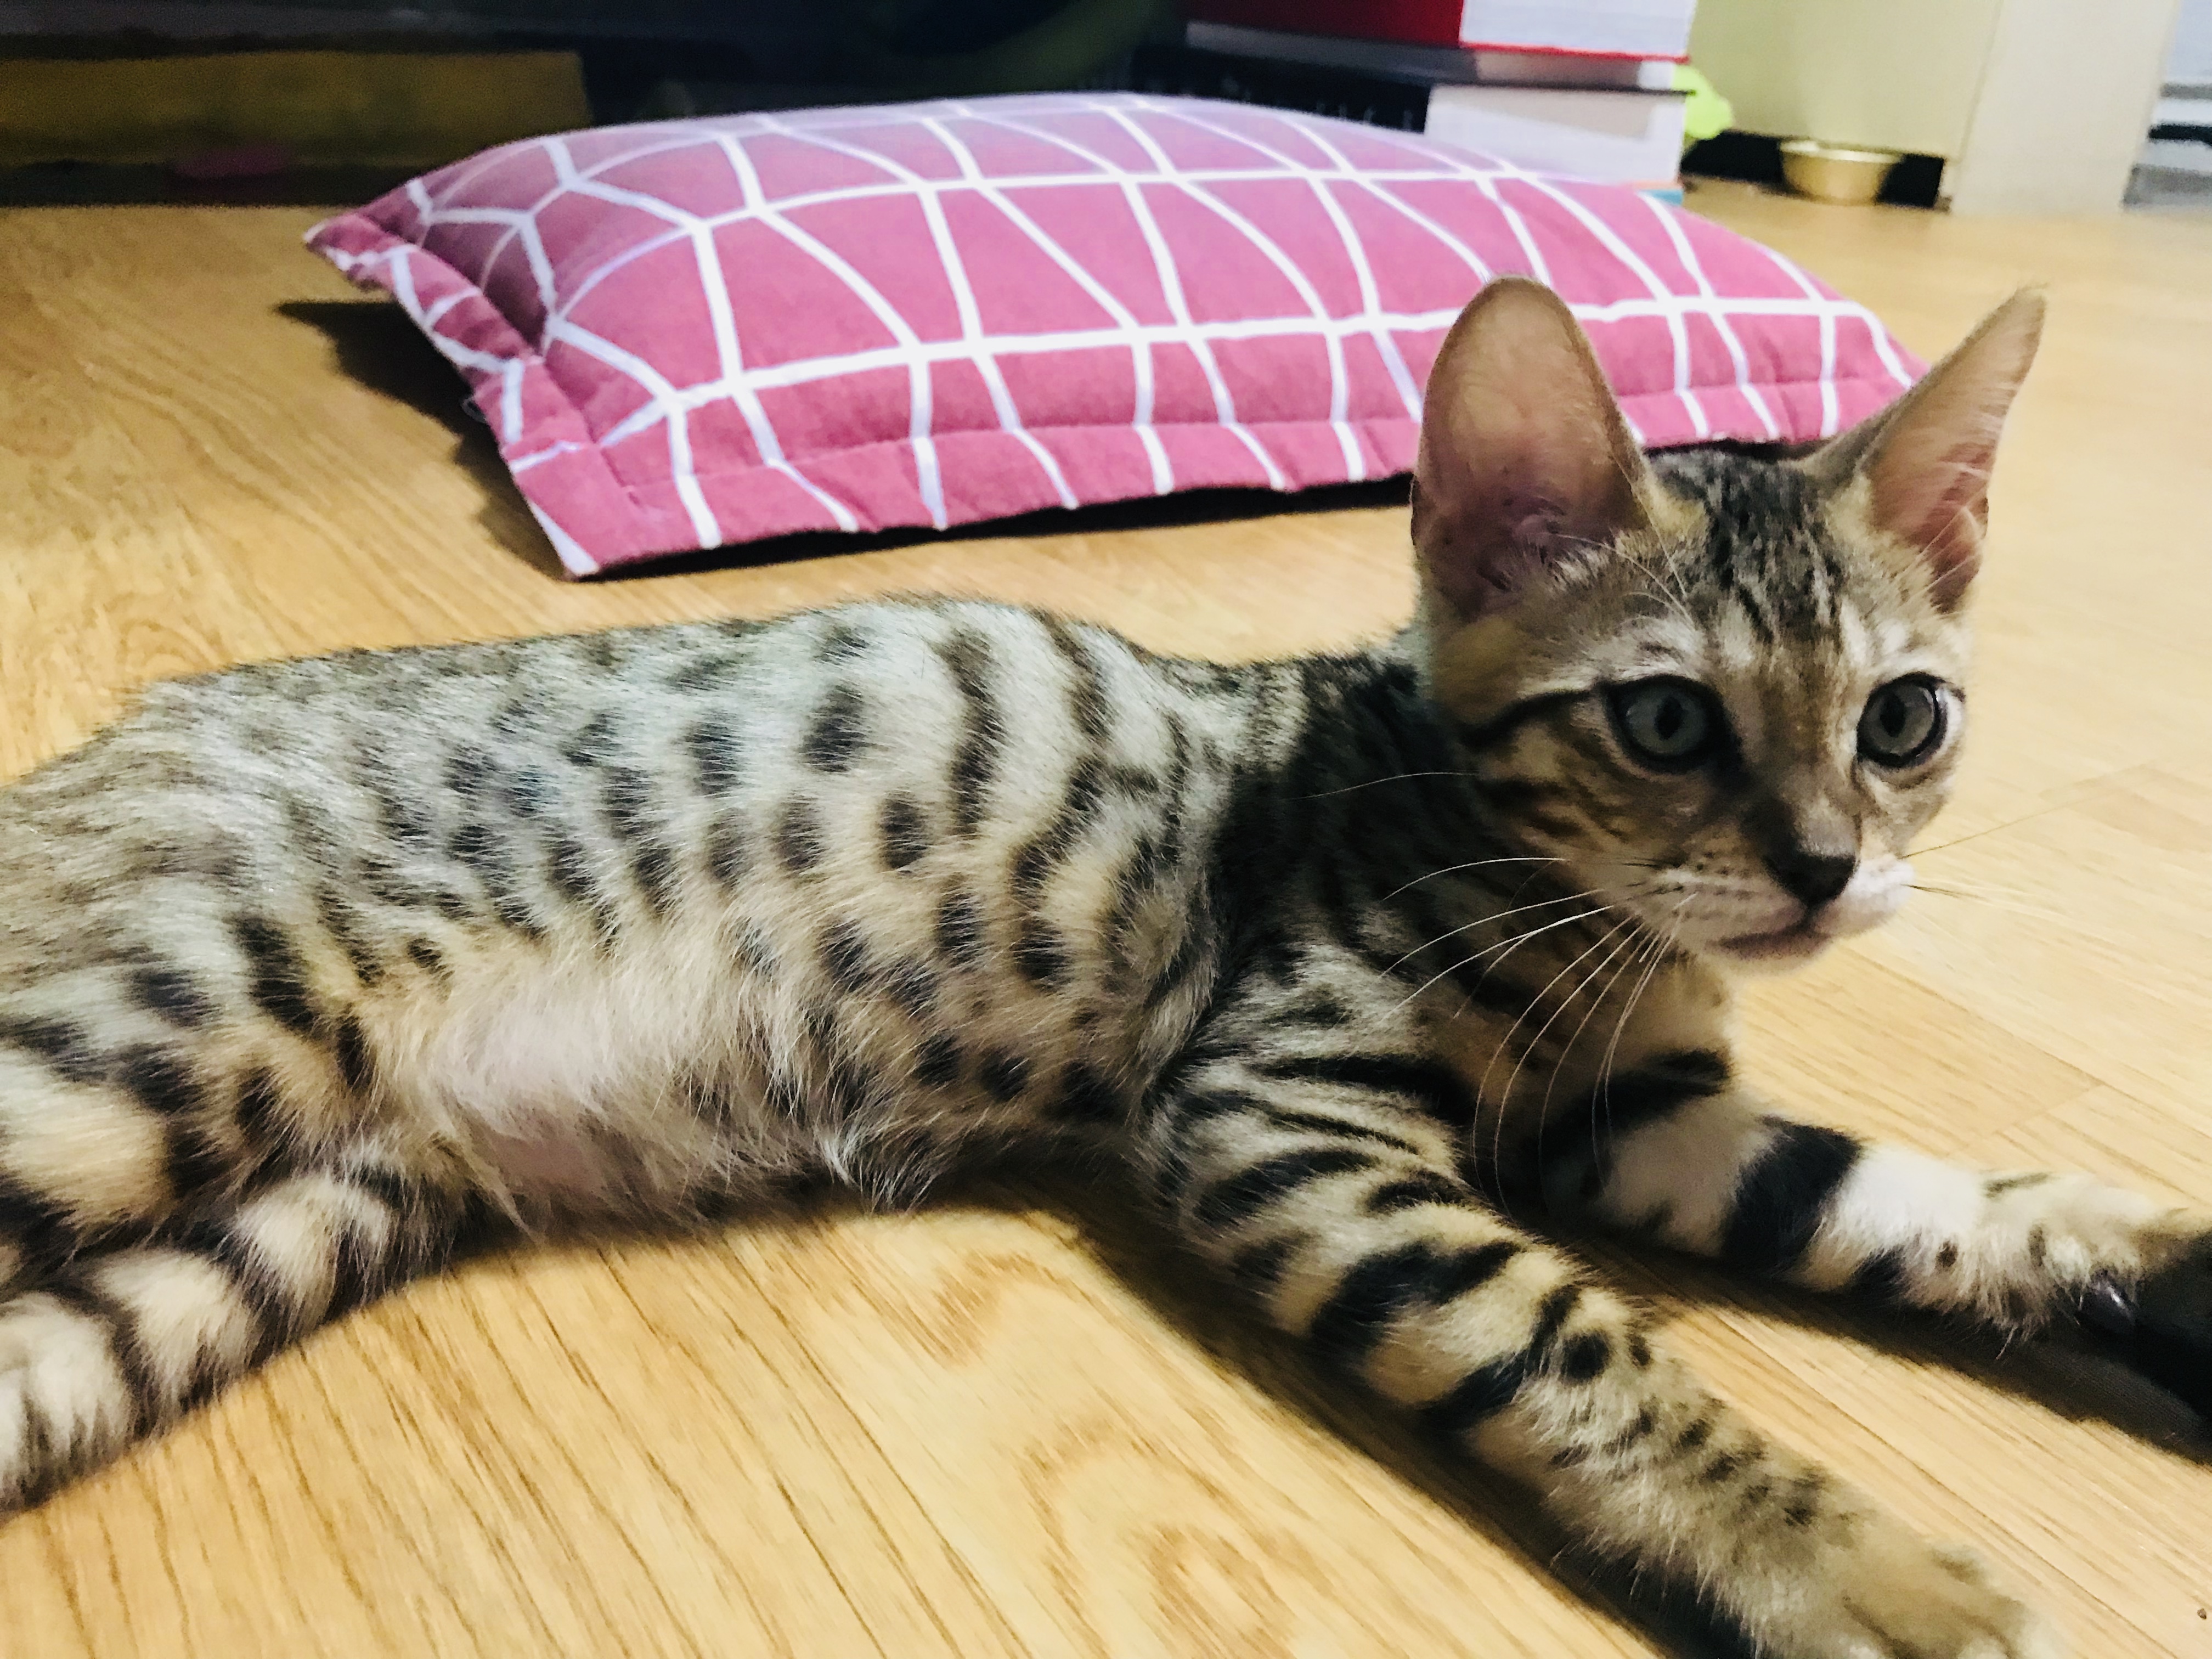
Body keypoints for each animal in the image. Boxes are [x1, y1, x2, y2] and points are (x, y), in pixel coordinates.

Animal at [0, 274, 2204, 1659]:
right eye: (1664, 721)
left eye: (1903, 720)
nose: (1829, 874)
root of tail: (96, 756)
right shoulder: (1275, 1108)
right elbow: (1587, 1346)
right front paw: (1873, 1575)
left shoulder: (1634, 1120)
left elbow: (1892, 1192)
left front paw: (2153, 1263)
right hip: (168, 1042)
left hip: (260, 1235)